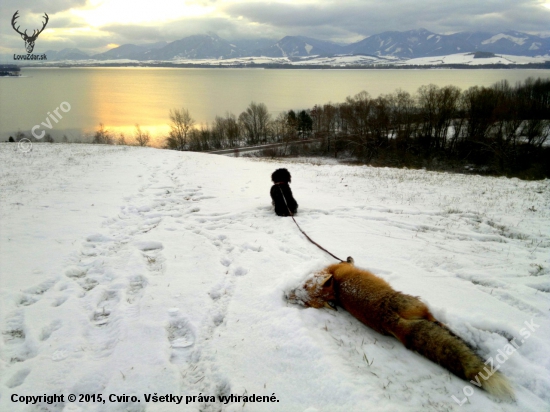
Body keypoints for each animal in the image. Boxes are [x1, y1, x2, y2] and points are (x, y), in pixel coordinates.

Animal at [288, 258, 516, 400]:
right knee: (432, 318)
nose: (288, 295)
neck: (335, 283)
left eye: (305, 291)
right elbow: (348, 260)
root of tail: (388, 321)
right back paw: (447, 327)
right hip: (417, 302)